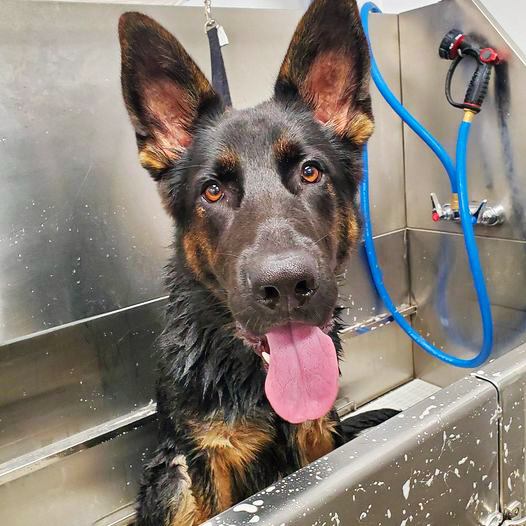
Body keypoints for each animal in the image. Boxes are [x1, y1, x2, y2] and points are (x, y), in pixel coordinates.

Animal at [118, 1, 396, 524]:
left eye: (310, 172)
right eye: (212, 191)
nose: (286, 286)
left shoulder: (316, 433)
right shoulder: (206, 460)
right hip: (173, 476)